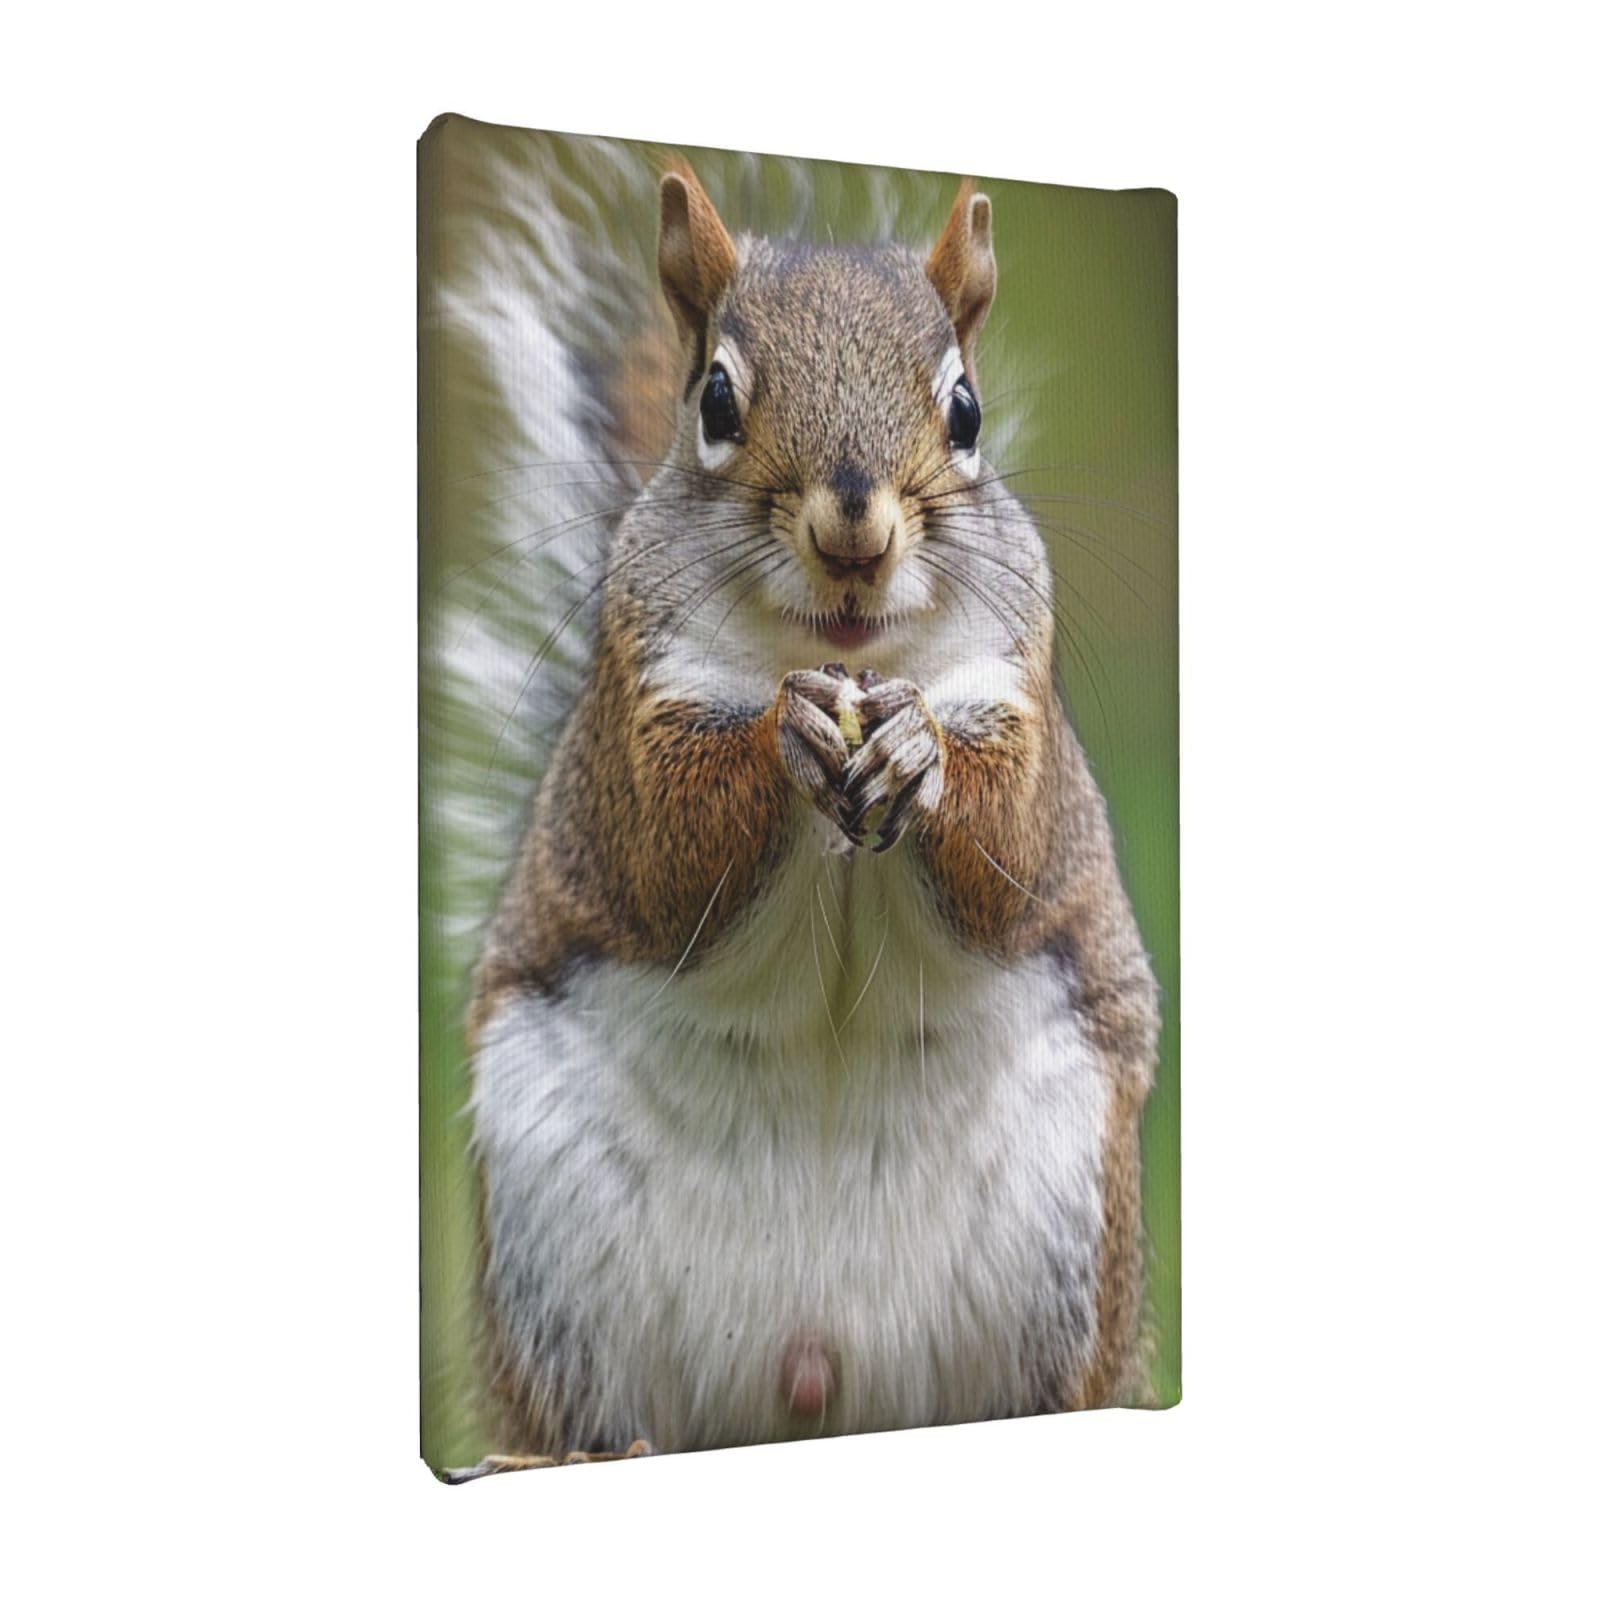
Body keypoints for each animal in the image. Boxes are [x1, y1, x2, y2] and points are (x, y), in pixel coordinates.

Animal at [446, 156, 1160, 1475]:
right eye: (716, 397)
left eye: (965, 410)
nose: (853, 529)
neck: (844, 648)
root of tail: (817, 1372)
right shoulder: (635, 717)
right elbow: (667, 853)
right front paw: (786, 730)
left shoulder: (1020, 693)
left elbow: (1014, 851)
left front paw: (919, 749)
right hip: (553, 1246)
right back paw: (594, 1450)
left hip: (1064, 1230)